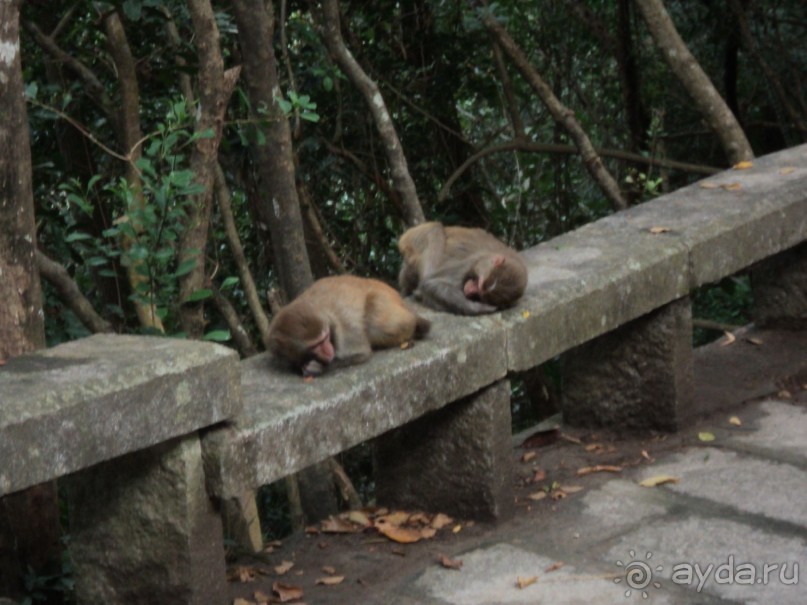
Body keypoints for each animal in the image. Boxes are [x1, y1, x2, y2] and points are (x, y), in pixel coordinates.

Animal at [266, 276, 432, 376]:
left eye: (326, 338)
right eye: (316, 344)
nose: (329, 350)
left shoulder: (342, 326)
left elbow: (361, 352)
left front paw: (321, 367)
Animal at [400, 222, 532, 316]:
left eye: (480, 295)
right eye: (478, 283)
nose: (468, 290)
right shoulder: (471, 262)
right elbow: (431, 283)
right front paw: (478, 308)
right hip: (415, 237)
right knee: (435, 230)